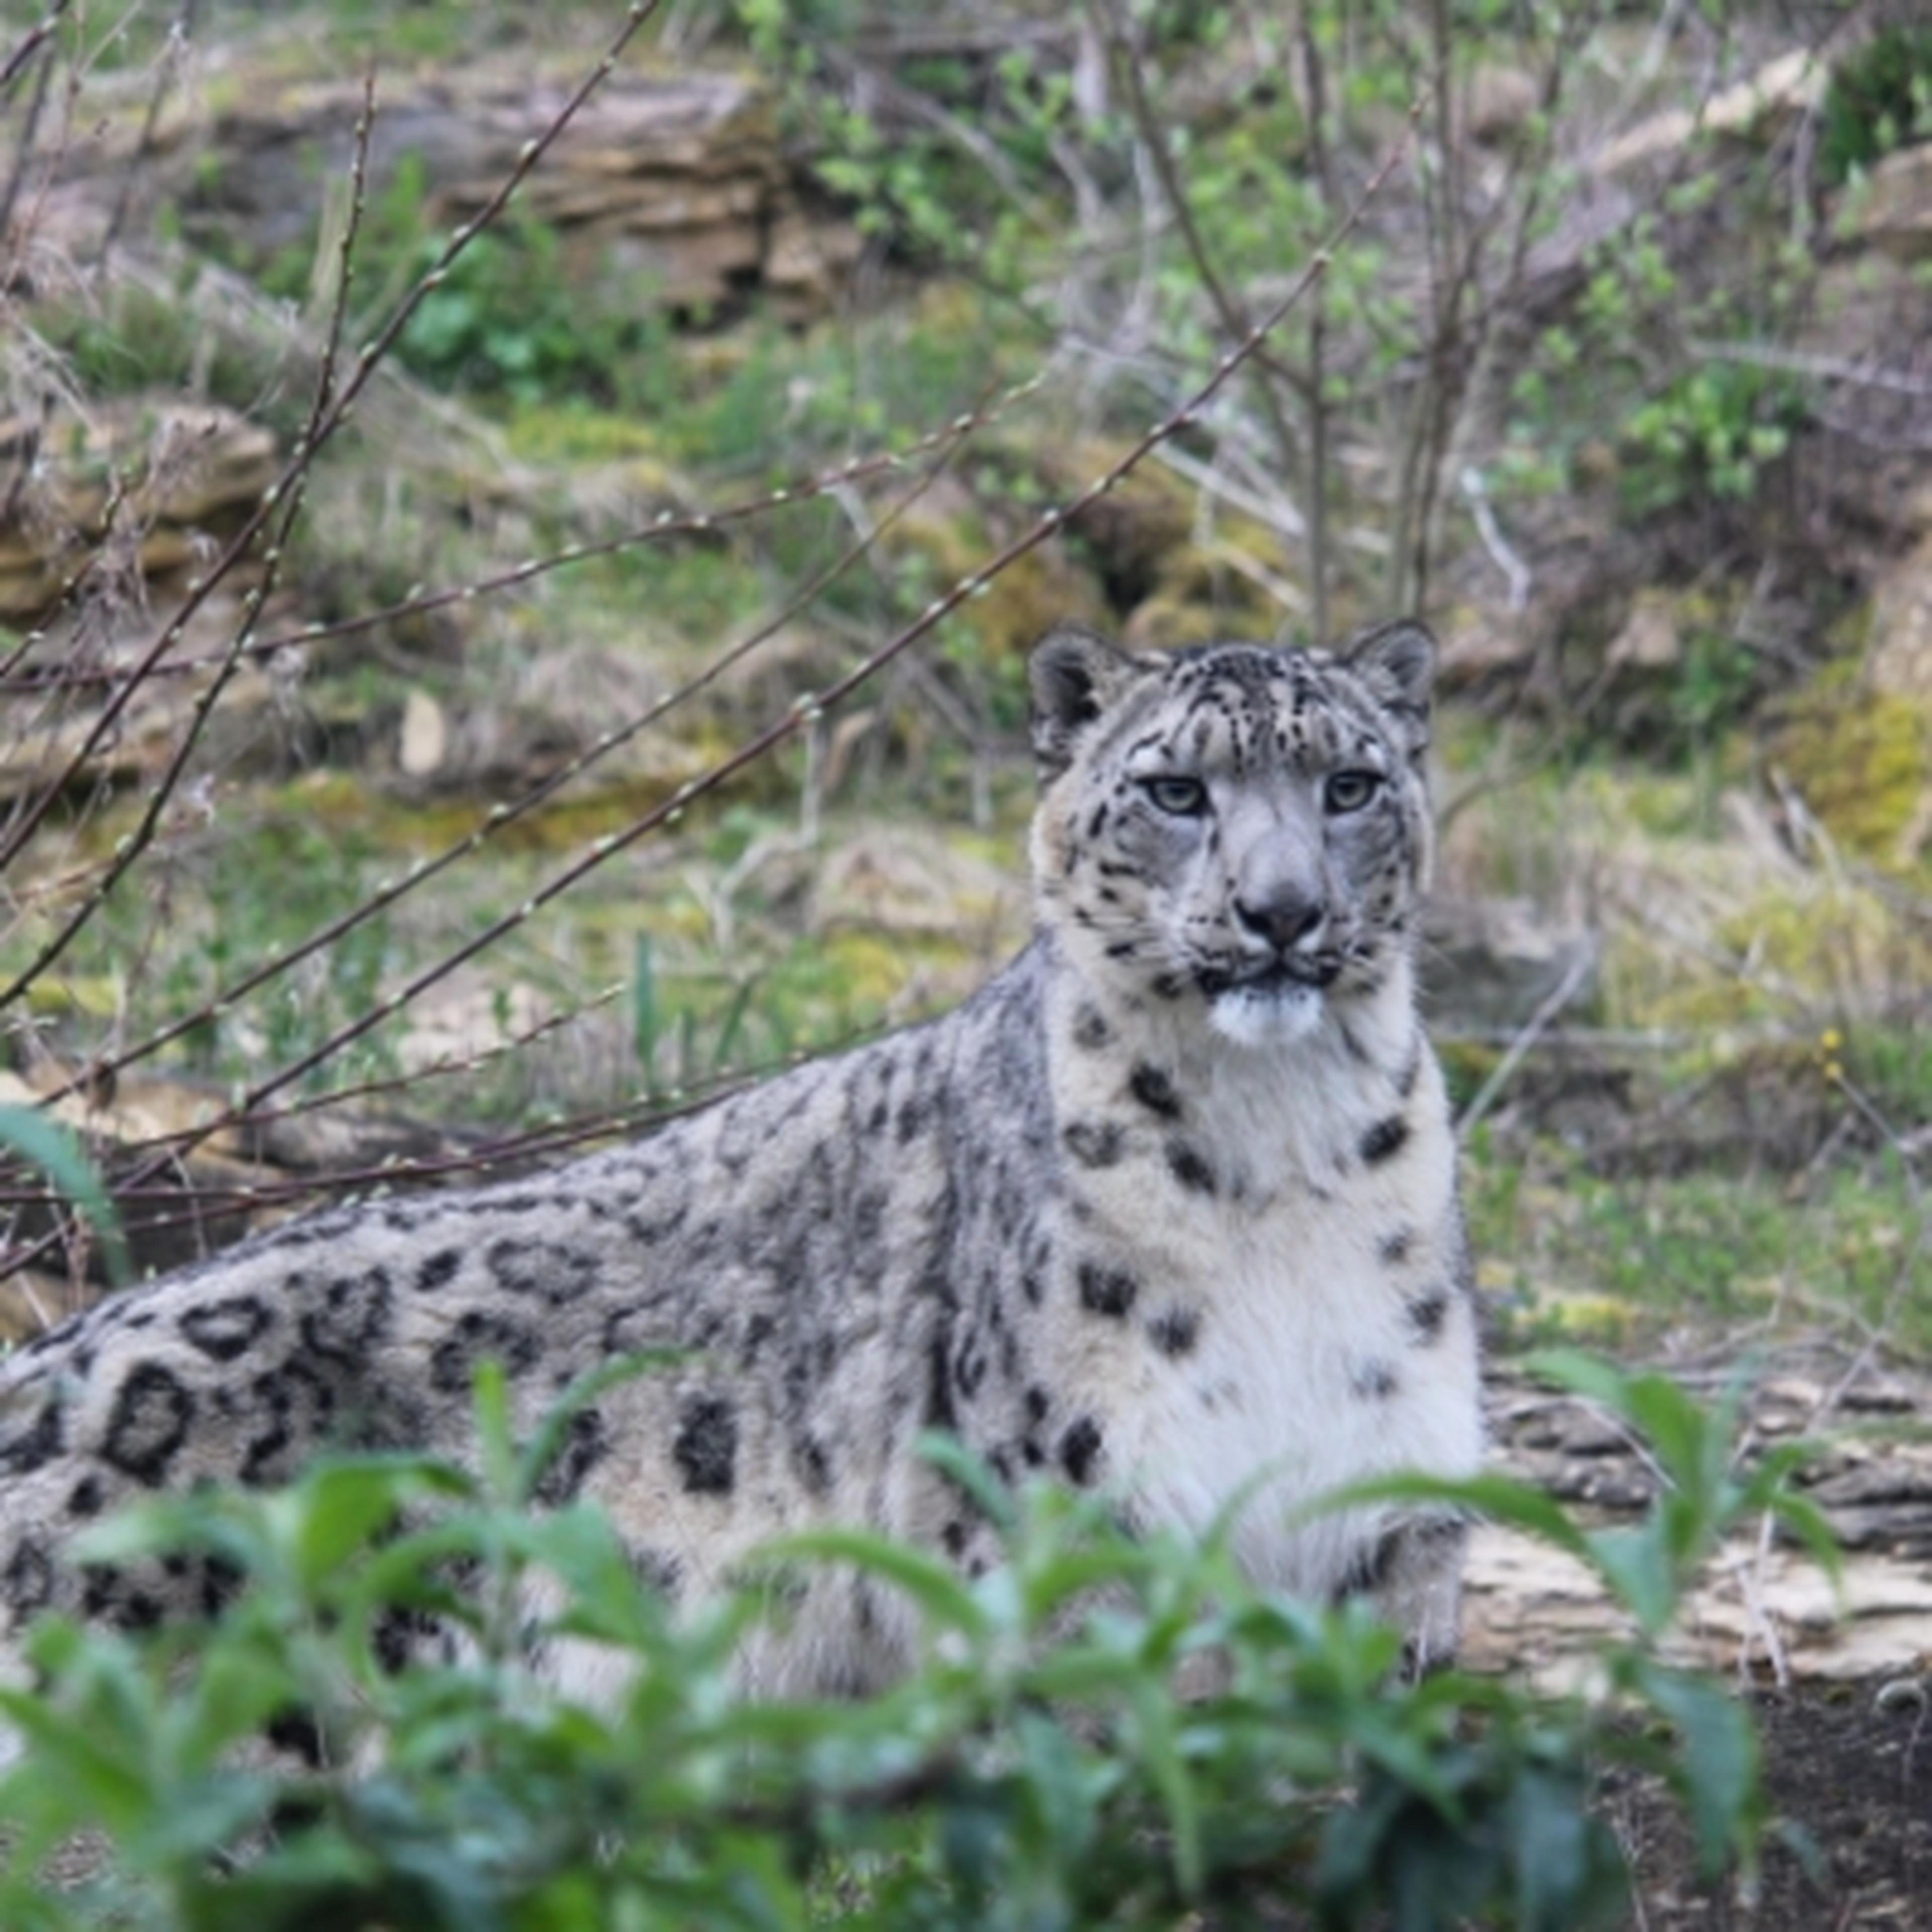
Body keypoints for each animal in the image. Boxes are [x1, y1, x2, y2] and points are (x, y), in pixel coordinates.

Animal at [0, 619, 1482, 1707]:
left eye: (1349, 785)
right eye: (1178, 791)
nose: (1282, 913)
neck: (1272, 1154)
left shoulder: (1390, 1519)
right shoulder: (1069, 1526)